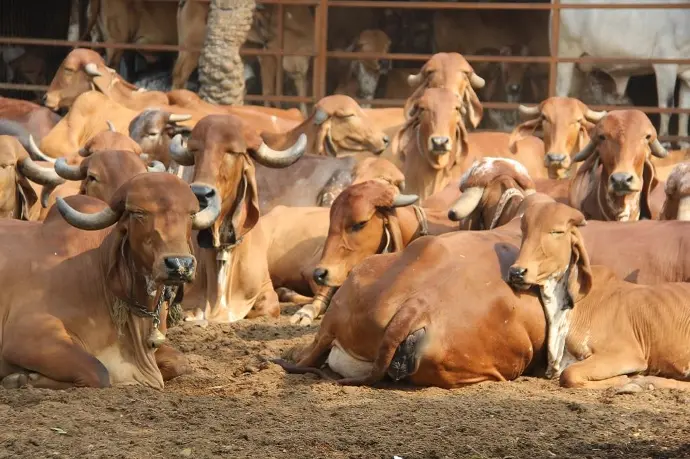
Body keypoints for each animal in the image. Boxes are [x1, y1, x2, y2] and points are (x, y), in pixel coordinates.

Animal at [0, 172, 220, 389]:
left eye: (190, 214)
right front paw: (21, 378)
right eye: (138, 213)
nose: (179, 264)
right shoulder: (26, 336)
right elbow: (98, 372)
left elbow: (180, 362)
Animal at [507, 200, 690, 392]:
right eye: (524, 231)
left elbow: (569, 374)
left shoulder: (627, 354)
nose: (517, 272)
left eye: (557, 232)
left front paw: (626, 380)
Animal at [553, 0, 690, 148]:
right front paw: (665, 143)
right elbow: (667, 105)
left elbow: (684, 108)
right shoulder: (665, 64)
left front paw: (684, 143)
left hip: (578, 69)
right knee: (561, 93)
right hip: (566, 54)